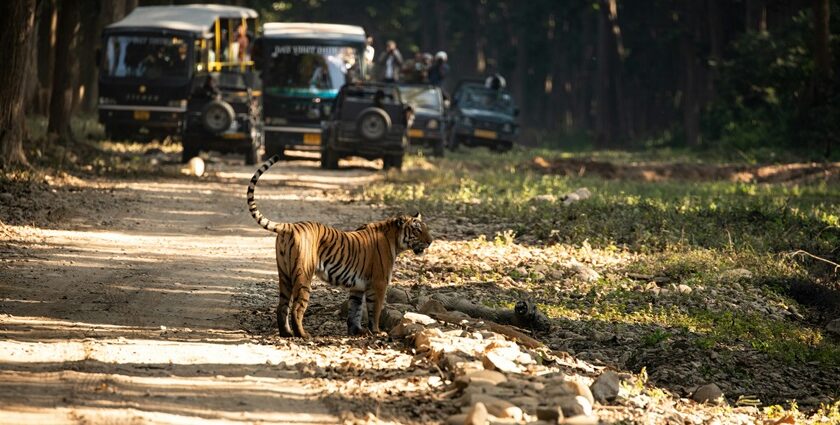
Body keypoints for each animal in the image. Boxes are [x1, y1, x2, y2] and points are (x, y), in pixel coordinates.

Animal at [244, 155, 434, 338]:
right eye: (417, 230)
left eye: (425, 228)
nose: (431, 241)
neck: (394, 239)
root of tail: (290, 226)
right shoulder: (379, 283)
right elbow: (375, 310)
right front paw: (376, 331)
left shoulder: (358, 288)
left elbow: (355, 311)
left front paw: (356, 331)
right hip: (303, 274)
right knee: (297, 307)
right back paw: (303, 335)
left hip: (284, 274)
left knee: (282, 306)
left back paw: (286, 333)